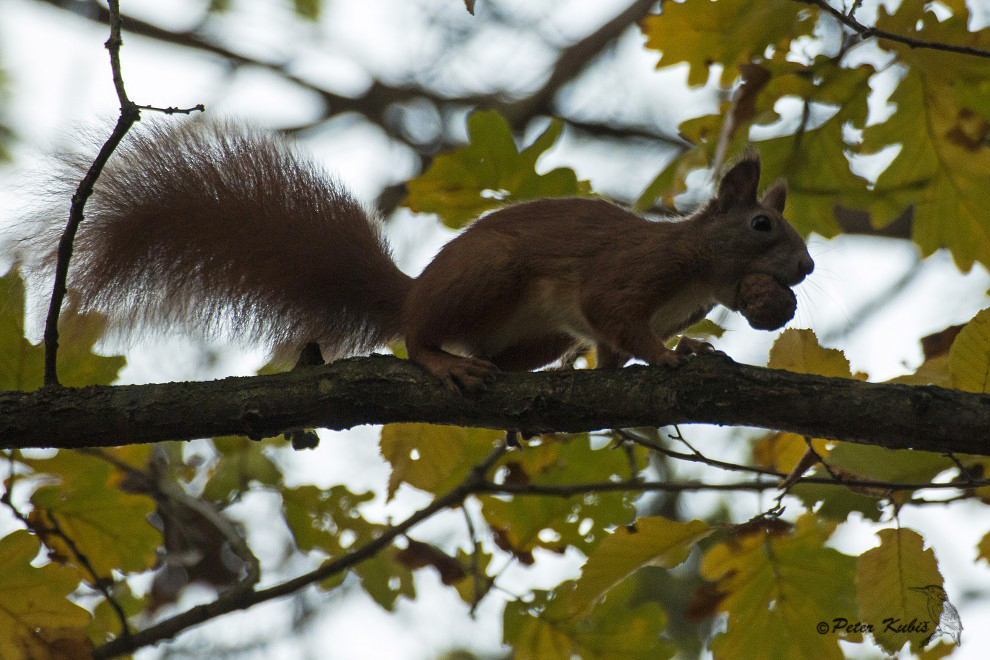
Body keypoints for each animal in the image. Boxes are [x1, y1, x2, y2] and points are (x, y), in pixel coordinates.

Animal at [33, 121, 812, 392]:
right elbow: (614, 317)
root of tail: (414, 289)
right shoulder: (630, 276)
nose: (805, 270)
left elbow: (610, 352)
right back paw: (442, 361)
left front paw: (694, 348)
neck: (697, 260)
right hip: (491, 275)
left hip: (533, 336)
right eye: (763, 224)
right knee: (415, 338)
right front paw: (671, 357)